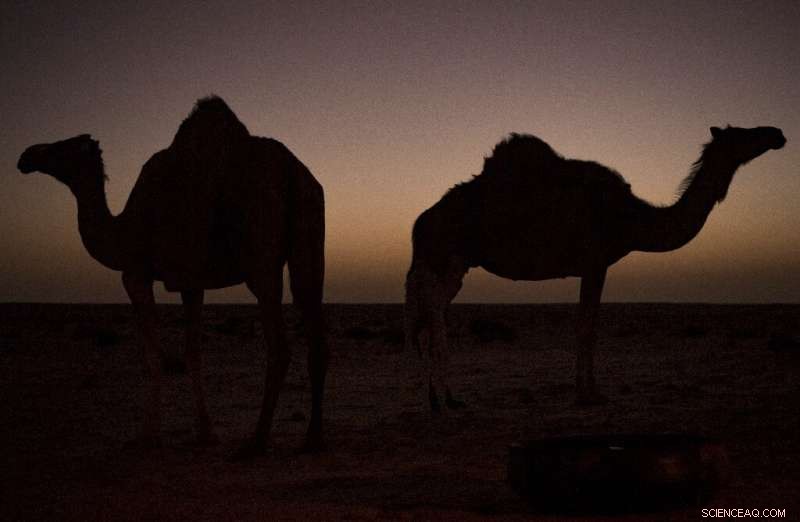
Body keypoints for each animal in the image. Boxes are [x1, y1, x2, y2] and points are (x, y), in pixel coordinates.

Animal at [17, 97, 327, 456]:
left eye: (62, 147)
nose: (26, 156)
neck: (123, 230)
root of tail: (293, 171)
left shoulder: (135, 273)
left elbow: (155, 357)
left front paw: (146, 437)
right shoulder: (190, 280)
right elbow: (192, 354)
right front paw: (205, 434)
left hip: (260, 257)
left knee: (279, 345)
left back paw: (256, 442)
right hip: (309, 231)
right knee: (314, 324)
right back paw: (312, 439)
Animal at [405, 126, 786, 410]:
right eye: (742, 134)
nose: (777, 134)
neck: (631, 218)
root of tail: (419, 223)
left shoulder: (595, 265)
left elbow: (589, 326)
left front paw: (587, 390)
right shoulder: (595, 261)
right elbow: (586, 327)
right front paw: (588, 394)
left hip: (452, 264)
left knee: (426, 316)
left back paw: (439, 397)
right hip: (446, 255)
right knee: (432, 314)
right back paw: (443, 400)